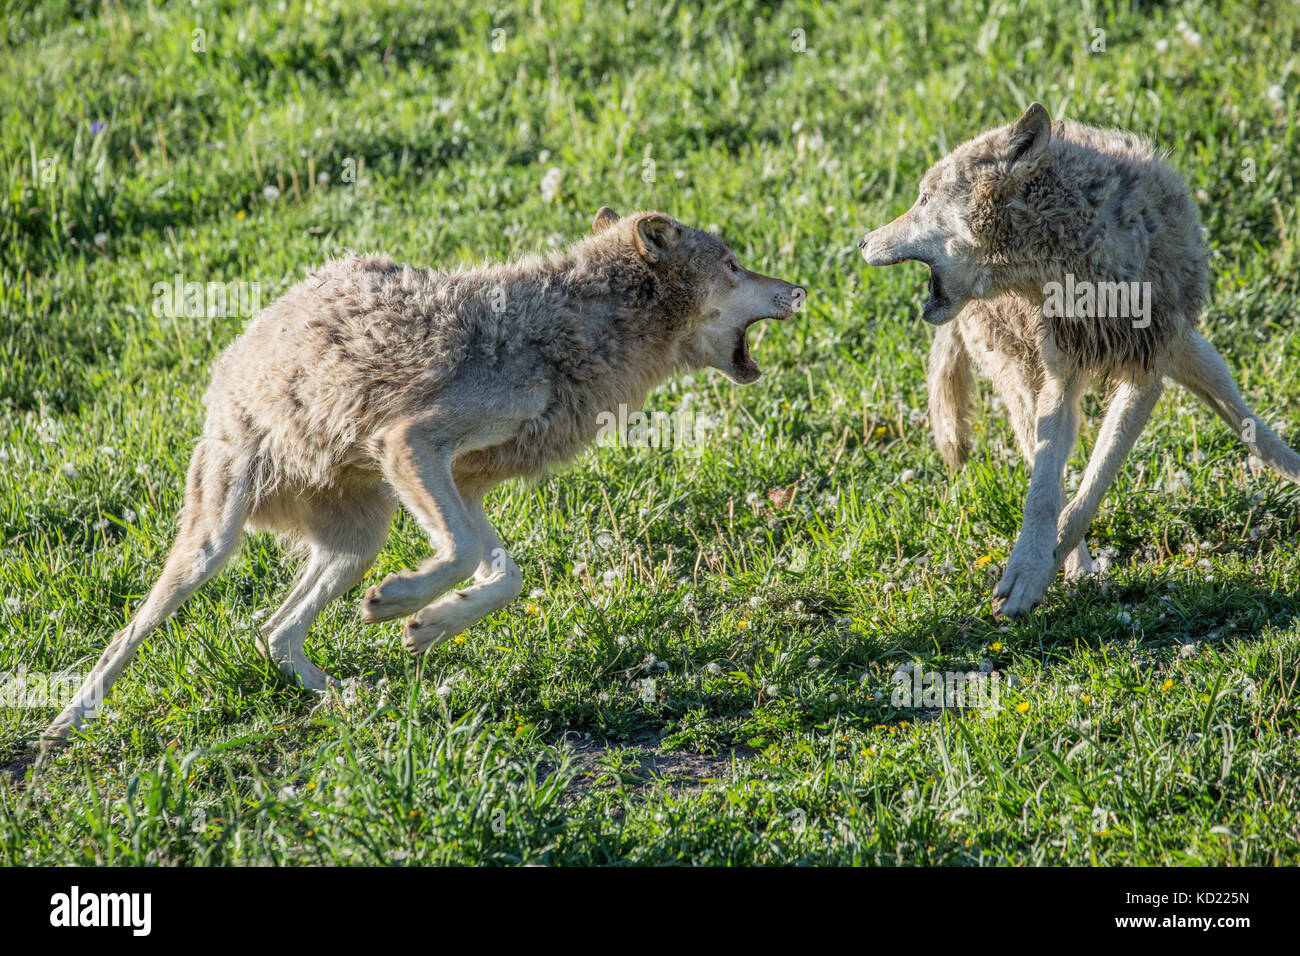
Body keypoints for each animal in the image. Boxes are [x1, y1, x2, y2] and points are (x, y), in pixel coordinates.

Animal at [43, 208, 800, 749]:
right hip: (212, 546)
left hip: (358, 544)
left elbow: (506, 576)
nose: (800, 289)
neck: (579, 331)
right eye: (734, 265)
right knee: (130, 635)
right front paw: (401, 608)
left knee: (273, 632)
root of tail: (247, 337)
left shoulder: (461, 479)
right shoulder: (410, 442)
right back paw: (65, 723)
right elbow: (464, 556)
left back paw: (349, 700)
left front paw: (432, 624)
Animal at [863, 100, 1300, 616]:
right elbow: (1045, 493)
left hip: (1192, 353)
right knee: (1040, 458)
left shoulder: (1145, 374)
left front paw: (1042, 566)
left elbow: (1094, 485)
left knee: (1243, 417)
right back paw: (1078, 565)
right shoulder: (1060, 380)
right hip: (1019, 379)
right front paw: (1035, 570)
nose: (862, 241)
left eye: (924, 199)